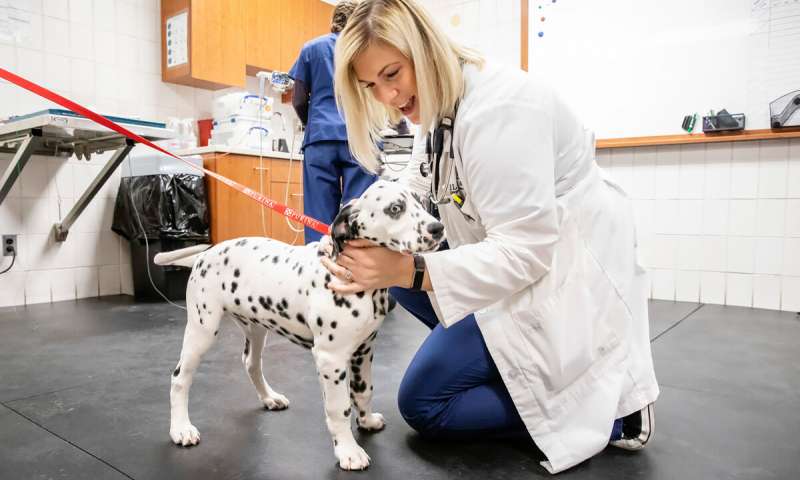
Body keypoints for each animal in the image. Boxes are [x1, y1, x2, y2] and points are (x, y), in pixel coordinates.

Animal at [153, 179, 446, 468]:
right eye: (395, 208)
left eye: (421, 203)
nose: (437, 228)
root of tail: (204, 255)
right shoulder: (331, 359)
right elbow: (339, 408)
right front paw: (348, 451)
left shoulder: (364, 349)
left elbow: (363, 391)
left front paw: (367, 420)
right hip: (202, 331)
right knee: (179, 378)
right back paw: (181, 429)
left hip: (256, 329)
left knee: (251, 363)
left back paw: (269, 398)